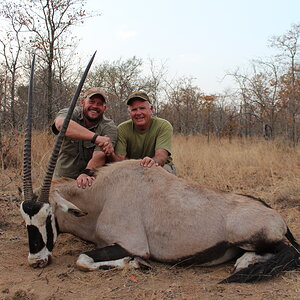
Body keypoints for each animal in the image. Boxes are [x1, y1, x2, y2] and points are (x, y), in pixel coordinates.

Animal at [19, 56, 298, 284]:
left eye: (49, 216)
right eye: (25, 218)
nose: (36, 261)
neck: (102, 196)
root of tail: (275, 215)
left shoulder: (131, 243)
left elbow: (83, 259)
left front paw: (136, 264)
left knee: (289, 251)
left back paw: (244, 264)